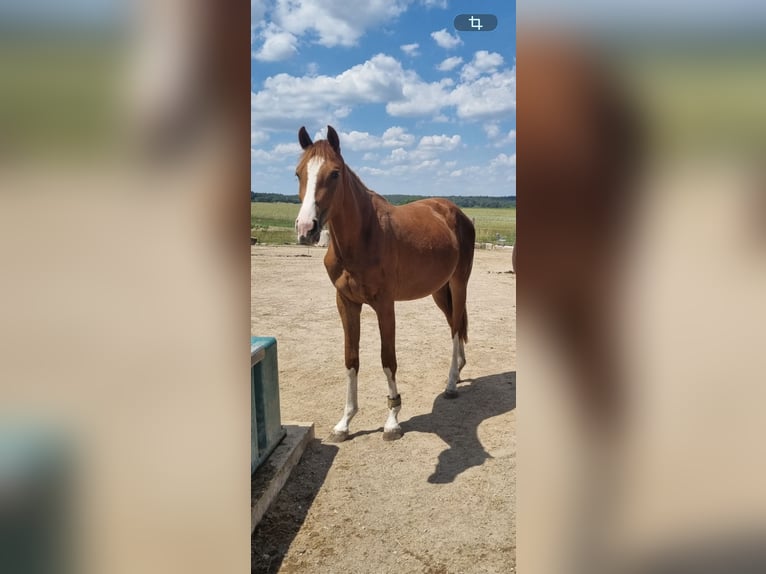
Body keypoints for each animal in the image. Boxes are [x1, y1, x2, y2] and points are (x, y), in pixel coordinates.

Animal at [294, 125, 476, 441]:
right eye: (298, 173)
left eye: (335, 173)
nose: (306, 229)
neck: (363, 237)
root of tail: (455, 212)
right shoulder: (346, 303)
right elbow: (351, 359)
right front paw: (345, 422)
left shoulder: (384, 305)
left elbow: (387, 358)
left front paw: (392, 419)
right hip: (439, 291)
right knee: (454, 322)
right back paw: (459, 370)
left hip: (458, 283)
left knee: (455, 328)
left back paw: (451, 384)